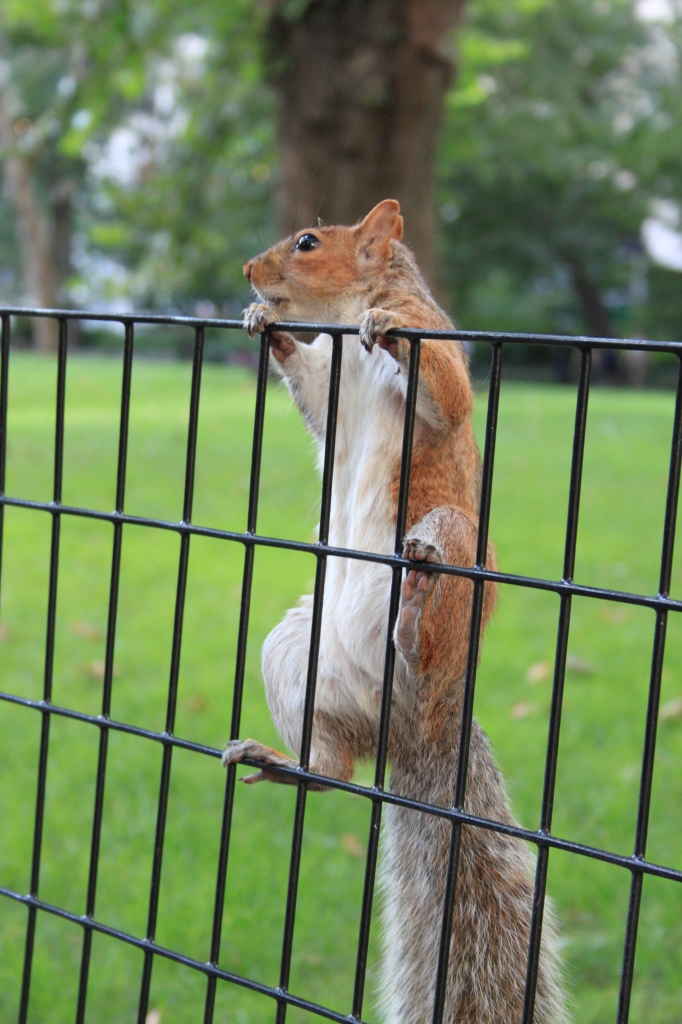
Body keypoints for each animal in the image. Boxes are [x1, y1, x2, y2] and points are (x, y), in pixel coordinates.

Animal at [220, 199, 565, 1024]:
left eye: (308, 243)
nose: (248, 270)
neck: (344, 324)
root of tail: (418, 723)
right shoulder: (328, 386)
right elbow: (313, 389)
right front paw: (264, 323)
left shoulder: (435, 339)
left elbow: (449, 390)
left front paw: (387, 327)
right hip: (297, 651)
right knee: (333, 773)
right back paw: (286, 763)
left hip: (455, 542)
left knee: (429, 628)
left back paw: (414, 619)